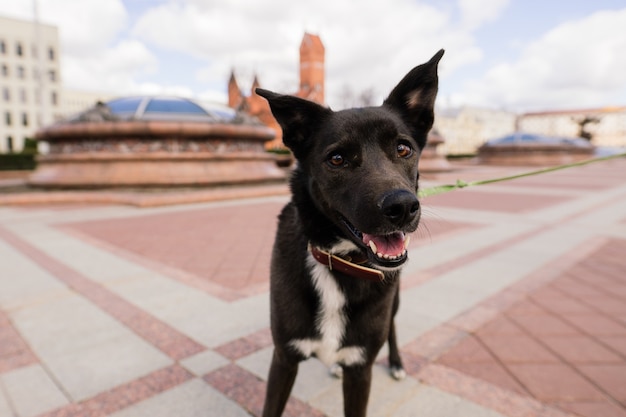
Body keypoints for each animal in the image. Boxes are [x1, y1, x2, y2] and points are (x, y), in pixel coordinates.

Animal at [256, 49, 442, 416]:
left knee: (392, 328)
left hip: (394, 302)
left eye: (403, 149)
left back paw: (396, 363)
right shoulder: (284, 359)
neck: (338, 263)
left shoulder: (361, 369)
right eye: (337, 158)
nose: (402, 207)